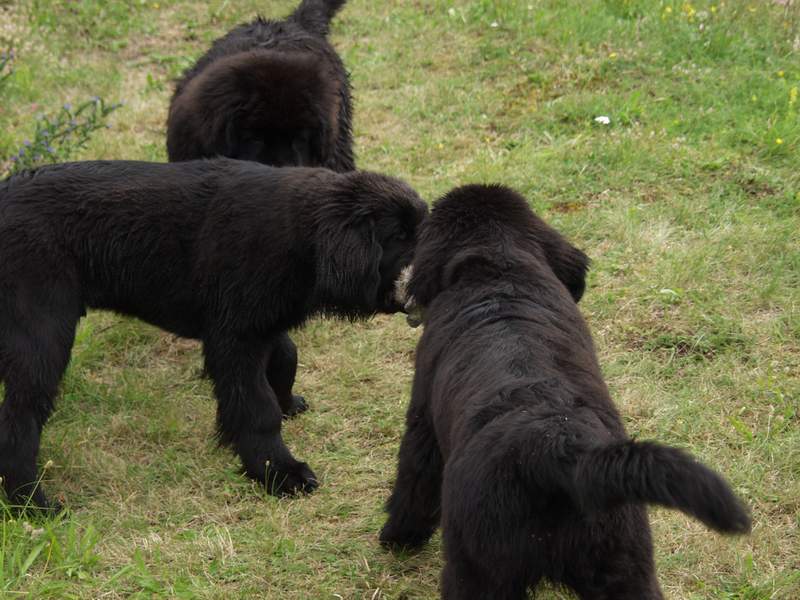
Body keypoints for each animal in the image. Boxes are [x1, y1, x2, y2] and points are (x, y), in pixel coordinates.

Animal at [0, 158, 427, 510]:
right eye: (400, 236)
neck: (302, 237)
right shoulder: (236, 337)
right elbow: (257, 407)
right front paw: (276, 471)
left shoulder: (258, 324)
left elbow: (285, 358)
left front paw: (285, 405)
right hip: (42, 335)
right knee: (20, 418)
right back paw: (31, 503)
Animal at [381, 184, 750, 599]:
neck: (498, 270)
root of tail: (555, 451)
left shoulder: (422, 418)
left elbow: (414, 479)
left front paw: (397, 537)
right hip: (626, 564)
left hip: (477, 570)